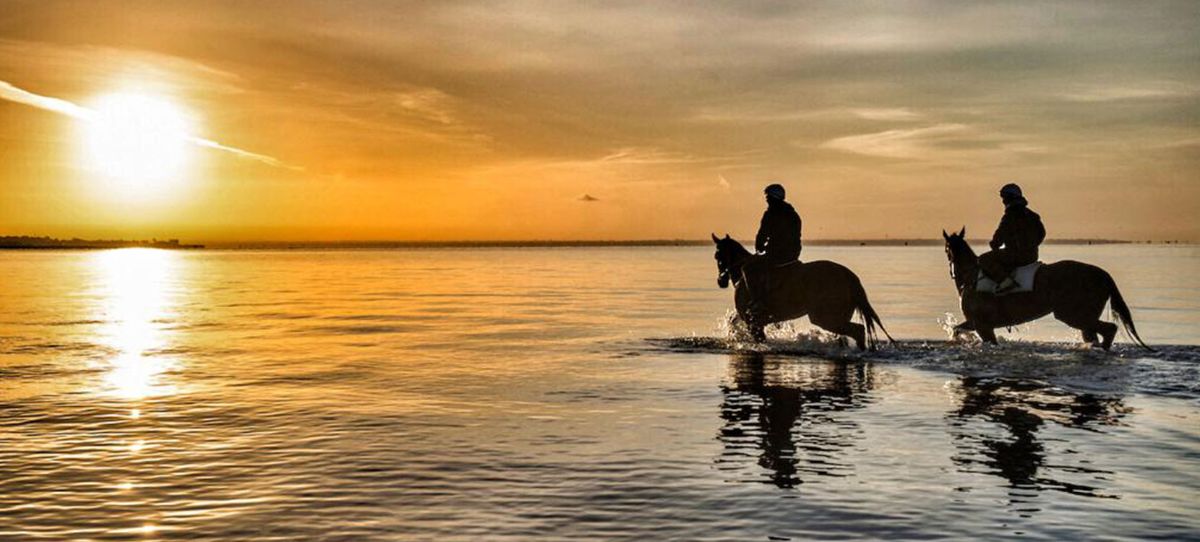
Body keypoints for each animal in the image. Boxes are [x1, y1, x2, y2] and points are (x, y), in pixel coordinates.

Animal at [710, 230, 892, 350]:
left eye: (717, 256)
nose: (720, 281)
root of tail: (848, 276)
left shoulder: (753, 323)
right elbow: (733, 322)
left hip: (825, 318)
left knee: (858, 331)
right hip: (838, 317)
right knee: (848, 335)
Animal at [940, 226, 1147, 350]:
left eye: (946, 249)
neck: (971, 277)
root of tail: (1103, 274)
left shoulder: (983, 325)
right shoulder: (977, 323)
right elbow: (957, 330)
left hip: (1073, 315)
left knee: (1110, 329)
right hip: (1083, 318)